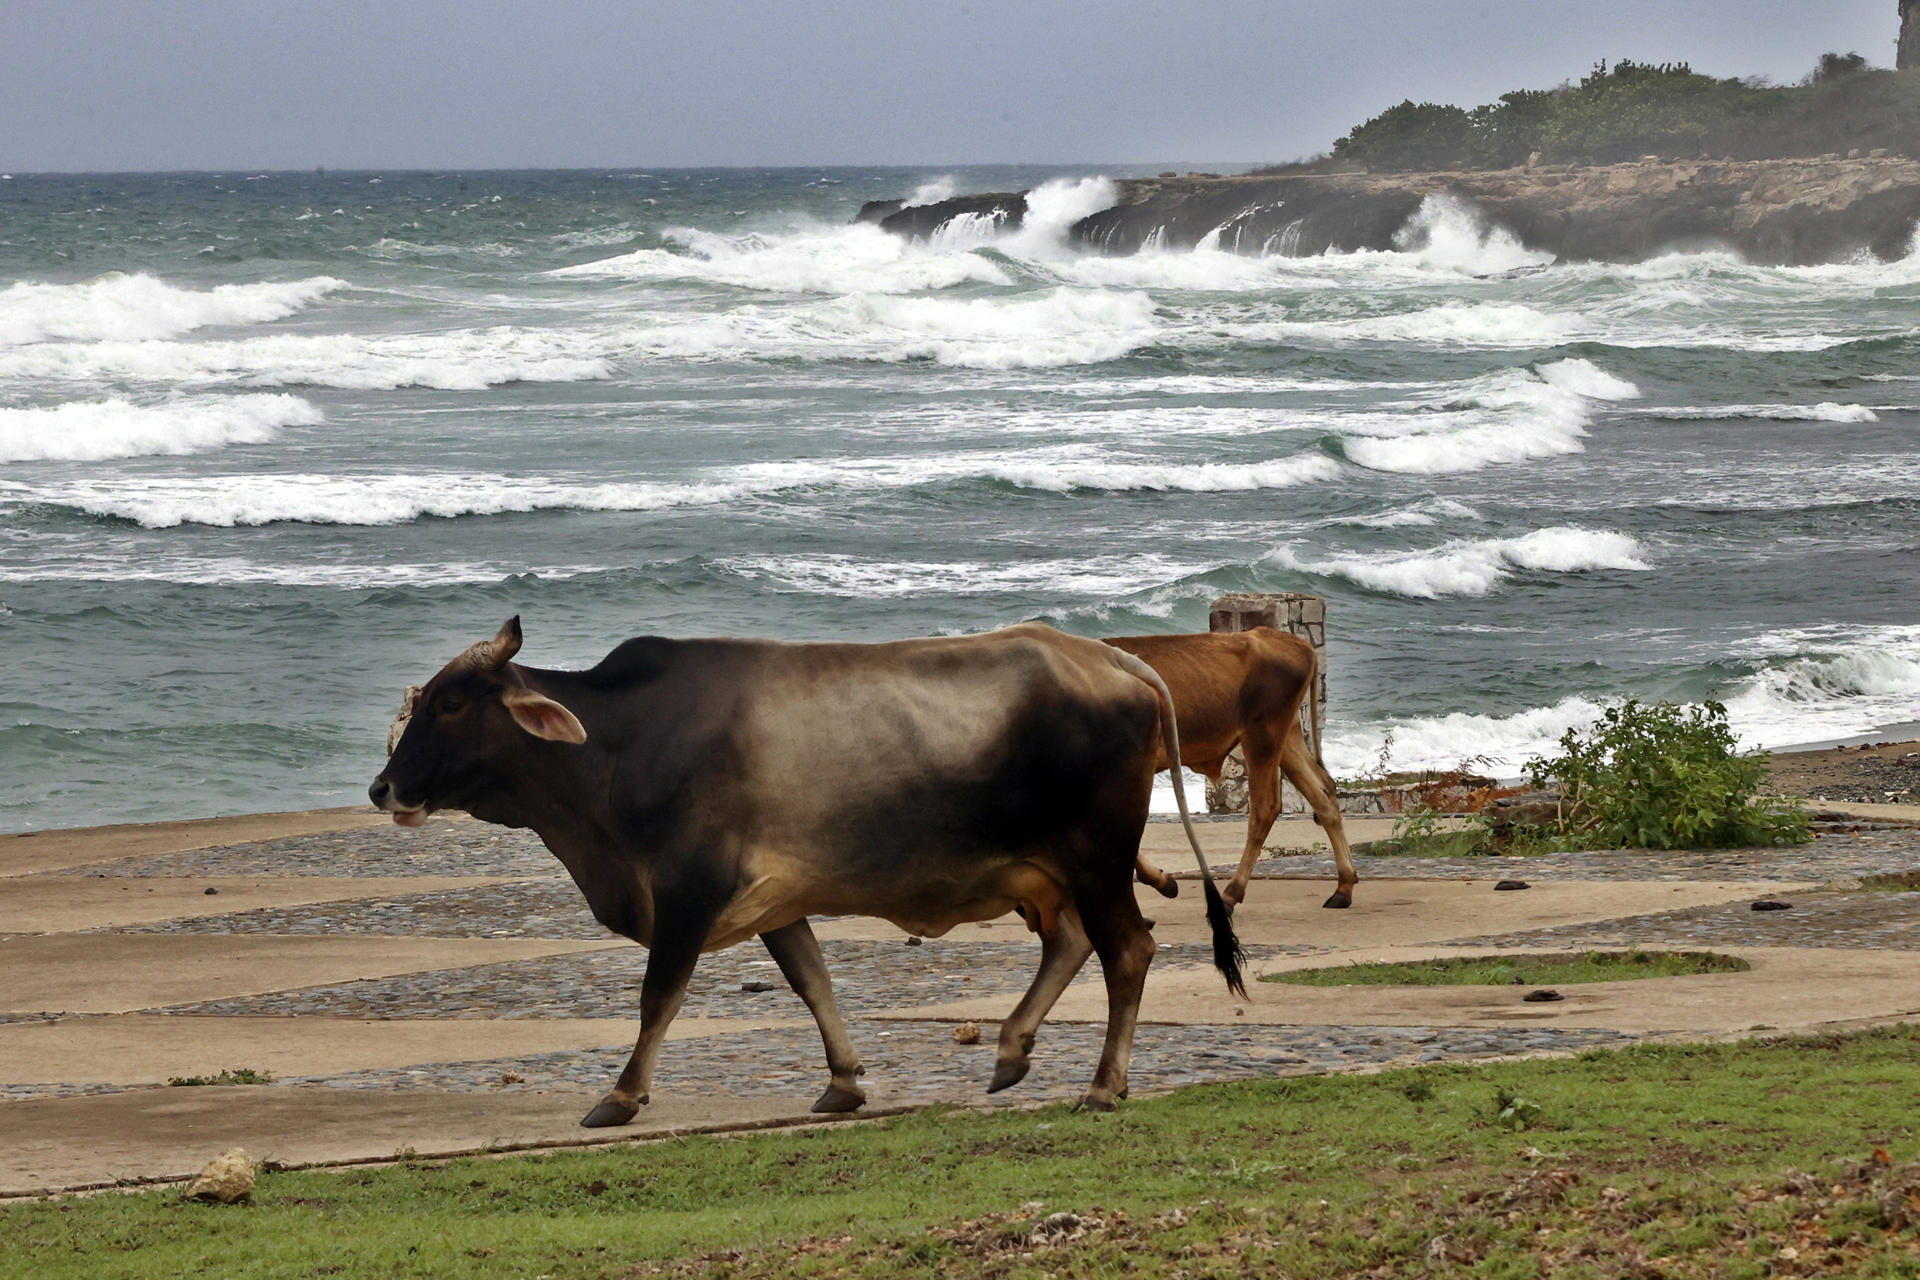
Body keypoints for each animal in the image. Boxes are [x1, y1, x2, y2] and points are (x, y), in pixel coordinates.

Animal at [370, 617, 1245, 1125]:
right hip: (1049, 873)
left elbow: (660, 997)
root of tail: (1113, 660)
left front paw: (620, 1094)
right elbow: (813, 983)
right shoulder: (775, 902)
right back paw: (1011, 1052)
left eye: (451, 704)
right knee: (1071, 947)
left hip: (1095, 858)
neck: (615, 750)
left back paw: (1101, 1083)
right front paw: (845, 1083)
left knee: (1127, 950)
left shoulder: (688, 893)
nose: (382, 789)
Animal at [1104, 628, 1357, 910]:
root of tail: (1296, 643)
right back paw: (1343, 887)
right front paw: (1163, 881)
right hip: (1287, 737)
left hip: (1262, 736)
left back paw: (1231, 894)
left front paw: (1163, 881)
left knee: (1265, 809)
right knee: (1323, 794)